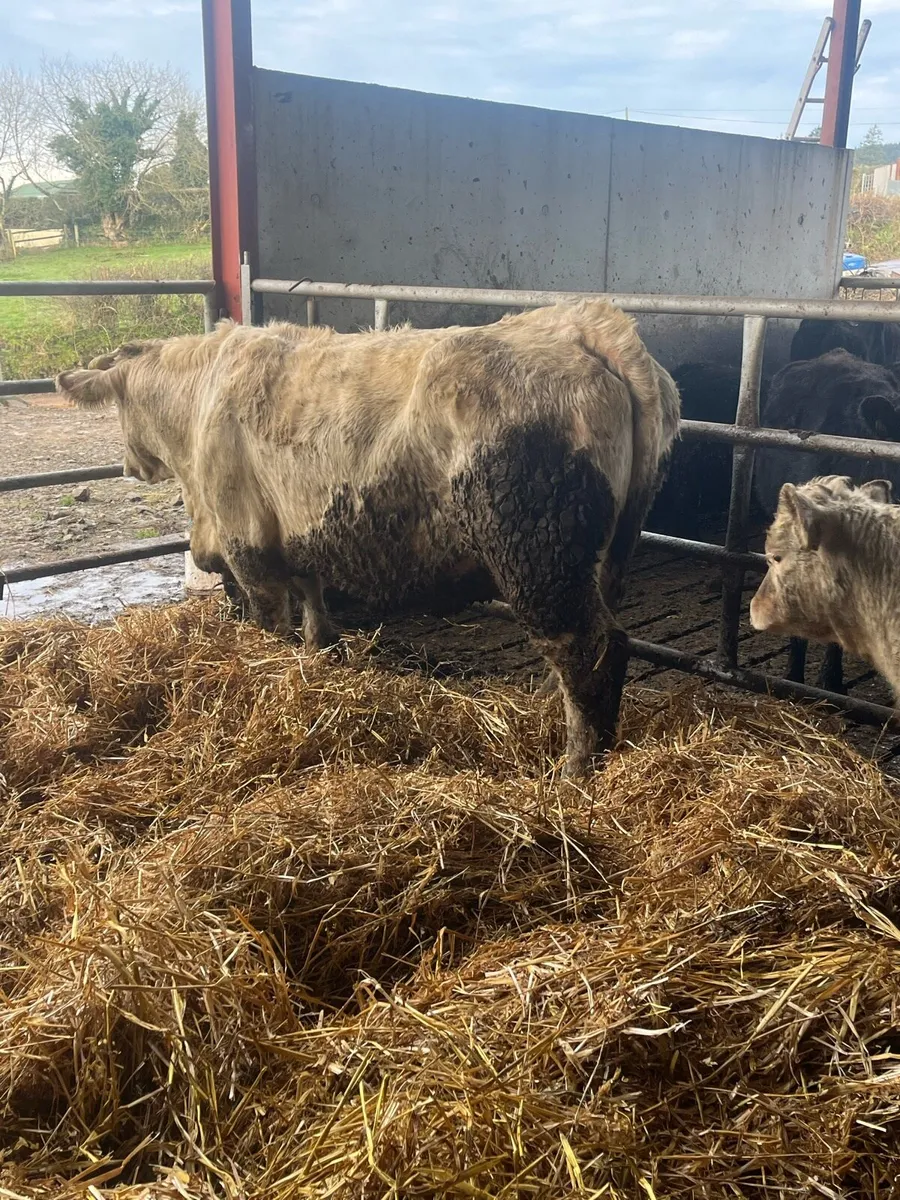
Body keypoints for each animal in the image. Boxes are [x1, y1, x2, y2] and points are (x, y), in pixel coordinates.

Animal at [55, 300, 681, 776]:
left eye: (120, 409)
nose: (132, 465)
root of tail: (585, 325)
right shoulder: (297, 530)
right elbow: (312, 601)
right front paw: (317, 655)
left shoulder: (247, 544)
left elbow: (267, 622)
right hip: (600, 558)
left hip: (537, 550)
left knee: (590, 650)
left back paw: (574, 770)